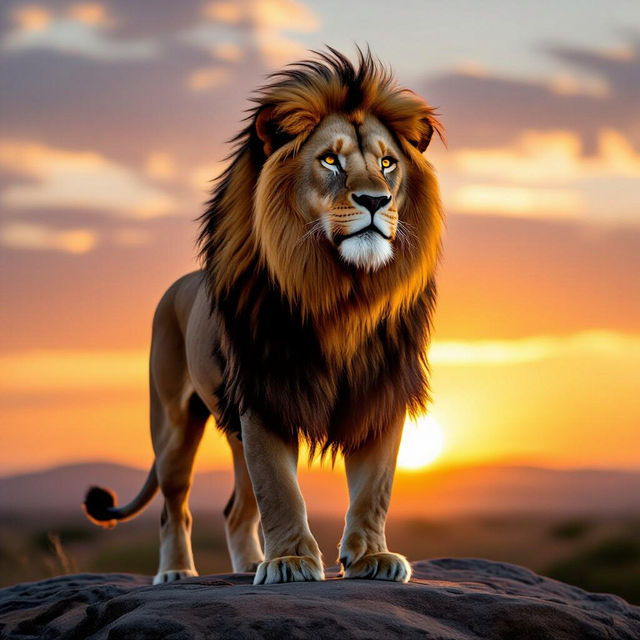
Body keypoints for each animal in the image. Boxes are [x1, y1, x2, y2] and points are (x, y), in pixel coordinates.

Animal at [84, 48, 444, 586]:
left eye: (387, 163)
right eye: (330, 159)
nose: (375, 200)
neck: (343, 294)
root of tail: (176, 286)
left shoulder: (380, 391)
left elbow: (374, 489)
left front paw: (371, 557)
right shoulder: (266, 393)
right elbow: (280, 490)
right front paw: (291, 562)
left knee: (236, 509)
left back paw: (250, 562)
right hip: (173, 425)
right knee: (174, 506)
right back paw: (177, 572)